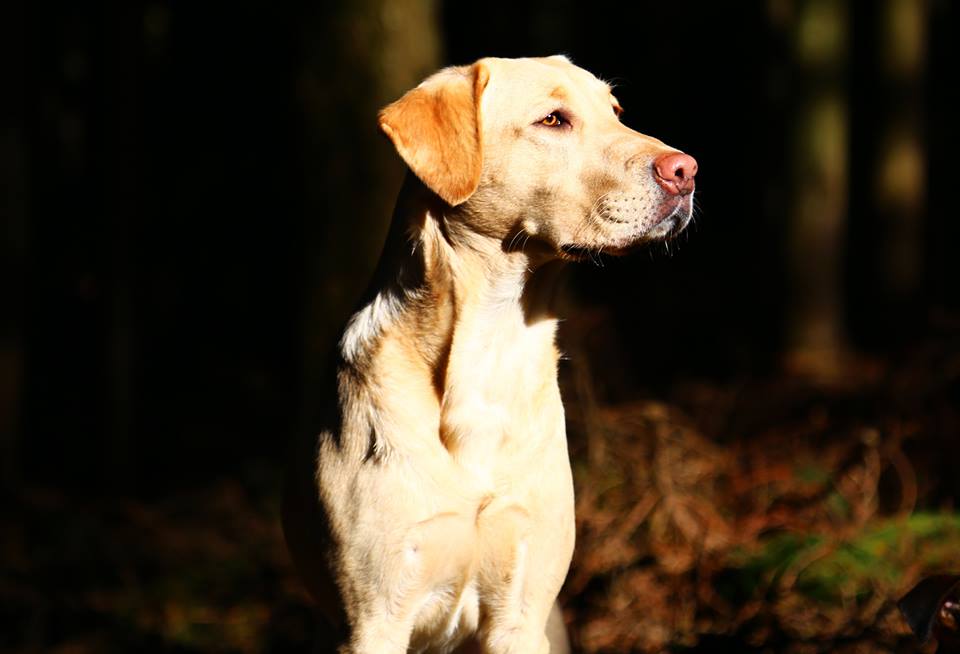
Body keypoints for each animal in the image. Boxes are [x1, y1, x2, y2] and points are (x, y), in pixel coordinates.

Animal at [283, 55, 697, 653]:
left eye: (616, 111)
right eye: (553, 120)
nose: (686, 171)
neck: (492, 347)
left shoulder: (520, 614)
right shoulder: (374, 619)